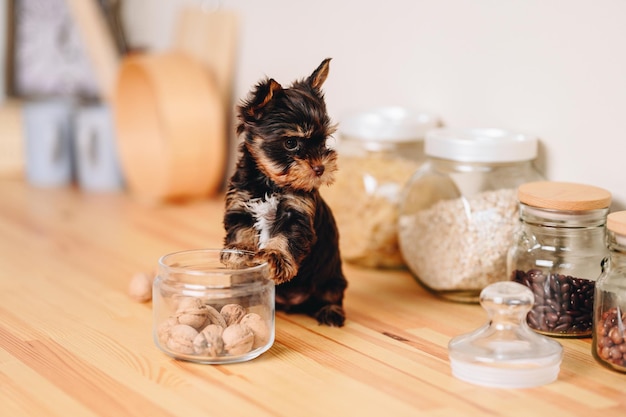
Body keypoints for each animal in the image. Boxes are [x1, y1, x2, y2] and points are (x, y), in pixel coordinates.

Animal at [222, 57, 346, 324]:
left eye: (323, 141)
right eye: (291, 143)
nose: (320, 168)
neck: (269, 182)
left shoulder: (296, 212)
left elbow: (284, 238)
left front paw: (274, 258)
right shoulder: (240, 205)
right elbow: (241, 232)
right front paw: (239, 254)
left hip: (331, 276)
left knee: (333, 293)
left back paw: (331, 311)